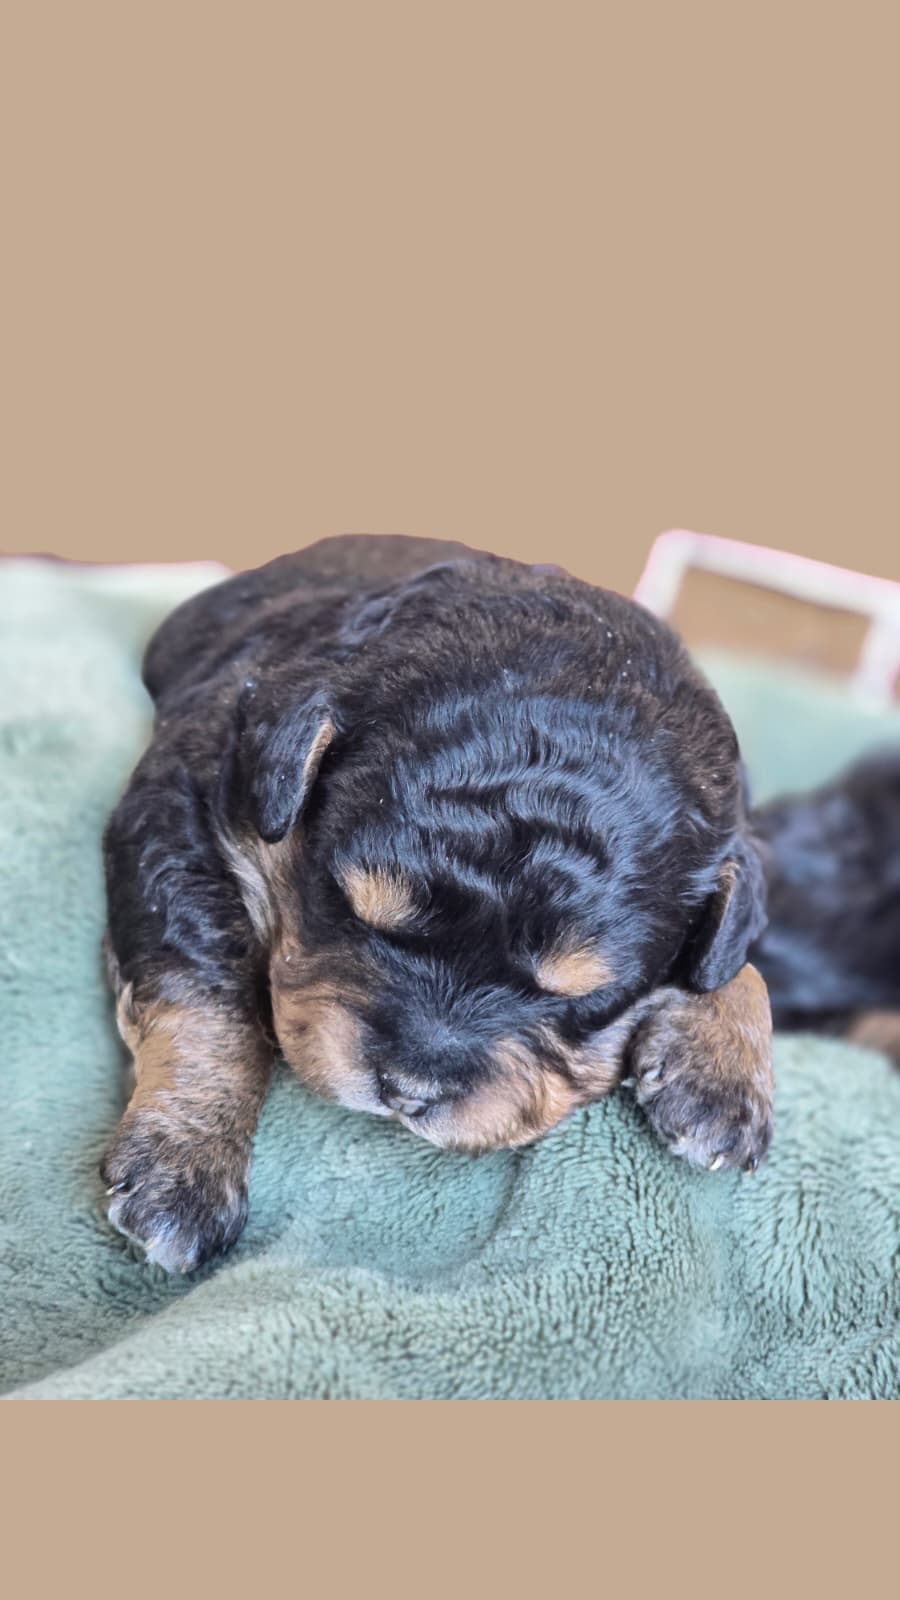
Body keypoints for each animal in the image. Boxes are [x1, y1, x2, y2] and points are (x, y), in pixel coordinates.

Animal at [101, 534, 773, 1271]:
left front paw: (722, 1071)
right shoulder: (181, 807)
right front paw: (185, 1161)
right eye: (350, 909)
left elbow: (736, 956)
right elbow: (209, 990)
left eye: (588, 1000)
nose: (408, 1091)